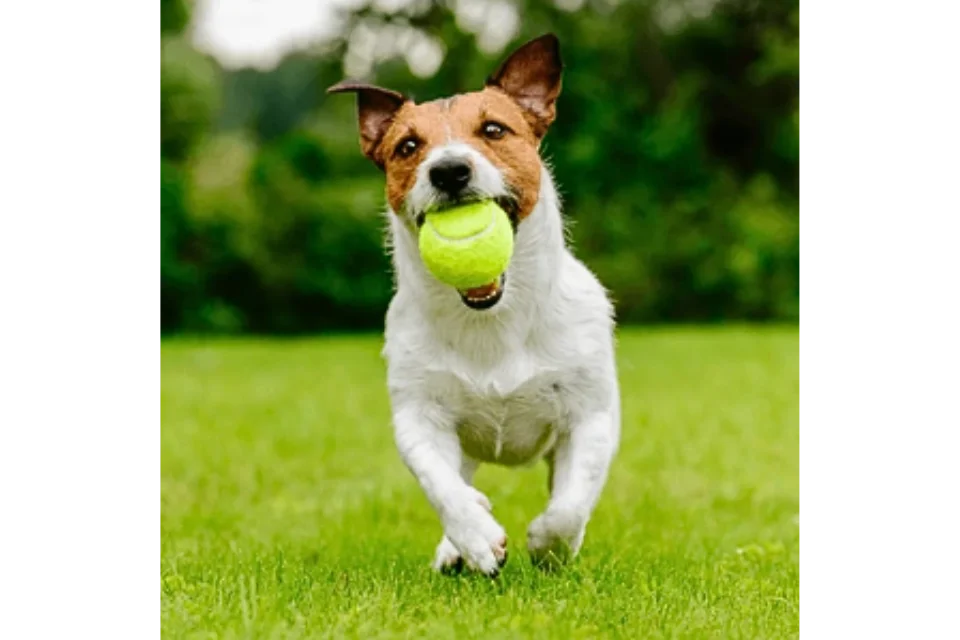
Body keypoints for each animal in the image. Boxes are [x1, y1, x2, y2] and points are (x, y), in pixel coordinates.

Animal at [326, 33, 620, 576]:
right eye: (408, 146)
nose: (449, 170)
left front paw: (549, 544)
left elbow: (570, 505)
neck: (492, 320)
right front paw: (475, 535)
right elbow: (441, 485)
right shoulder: (419, 415)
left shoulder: (590, 416)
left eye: (493, 129)